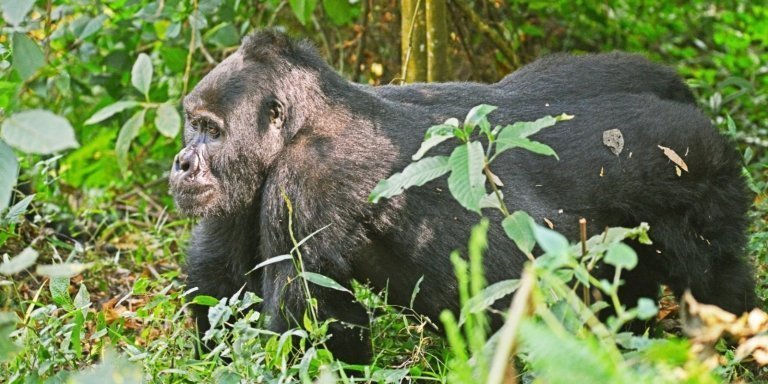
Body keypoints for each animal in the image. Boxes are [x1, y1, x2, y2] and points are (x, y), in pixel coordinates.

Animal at [171, 30, 752, 364]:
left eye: (212, 130)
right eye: (192, 124)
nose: (181, 162)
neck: (306, 120)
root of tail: (687, 99)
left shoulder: (307, 179)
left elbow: (312, 316)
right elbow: (220, 275)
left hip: (696, 165)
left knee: (715, 276)